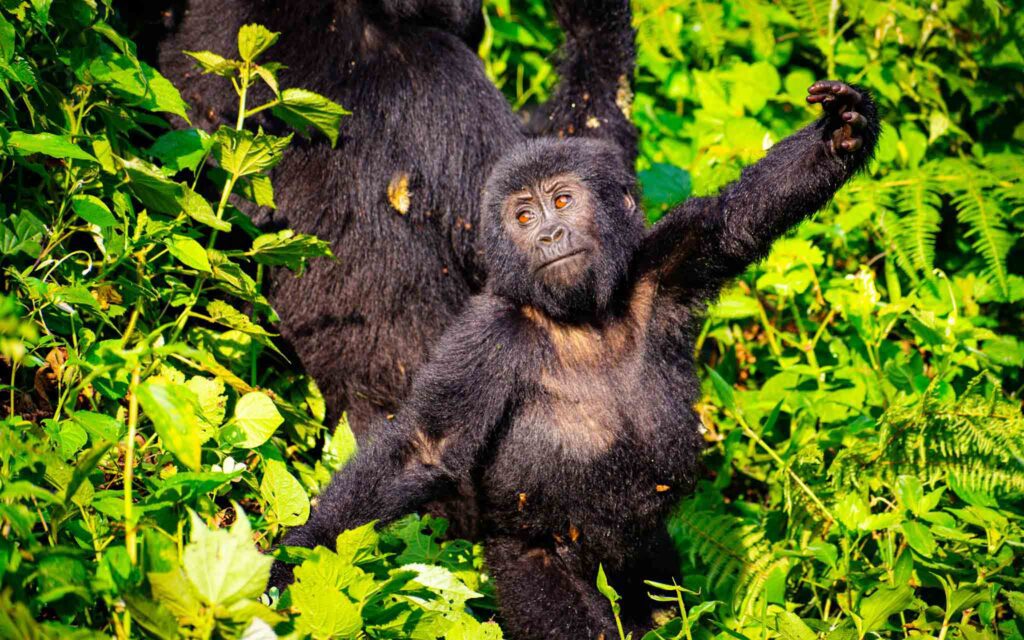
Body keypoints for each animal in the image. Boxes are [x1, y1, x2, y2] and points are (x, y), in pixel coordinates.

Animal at [272, 80, 880, 638]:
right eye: (523, 216)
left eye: (562, 201)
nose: (549, 234)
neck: (580, 320)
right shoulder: (487, 333)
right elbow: (427, 448)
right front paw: (289, 565)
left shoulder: (661, 268)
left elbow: (732, 221)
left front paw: (842, 132)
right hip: (520, 554)